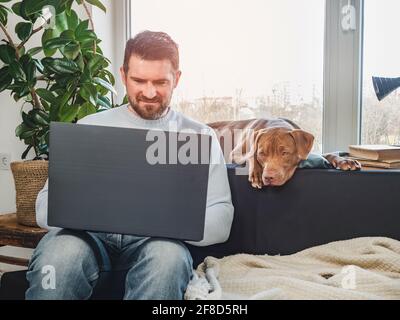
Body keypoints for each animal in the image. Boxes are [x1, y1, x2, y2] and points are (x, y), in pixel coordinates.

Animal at [208, 117, 360, 188]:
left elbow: (328, 154)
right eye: (262, 154)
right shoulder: (236, 153)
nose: (268, 177)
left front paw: (345, 160)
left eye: (285, 153)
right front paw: (256, 173)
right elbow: (251, 155)